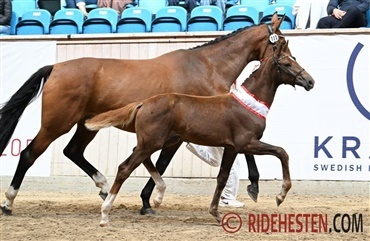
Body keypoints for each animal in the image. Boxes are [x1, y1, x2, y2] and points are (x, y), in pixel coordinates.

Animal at [0, 14, 286, 216]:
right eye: (283, 44)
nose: (290, 63)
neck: (206, 67)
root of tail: (56, 67)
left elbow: (159, 163)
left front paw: (147, 201)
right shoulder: (191, 133)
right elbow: (163, 163)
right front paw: (254, 185)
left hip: (86, 125)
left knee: (73, 151)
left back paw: (104, 188)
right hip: (56, 124)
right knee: (29, 154)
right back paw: (9, 203)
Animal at [85, 39, 314, 226]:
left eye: (294, 59)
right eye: (286, 64)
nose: (310, 81)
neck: (247, 104)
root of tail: (143, 103)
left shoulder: (231, 148)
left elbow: (222, 178)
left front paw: (216, 214)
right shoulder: (246, 143)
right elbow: (282, 152)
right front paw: (280, 196)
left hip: (160, 141)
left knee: (141, 158)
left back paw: (157, 195)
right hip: (153, 142)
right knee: (125, 168)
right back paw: (106, 213)